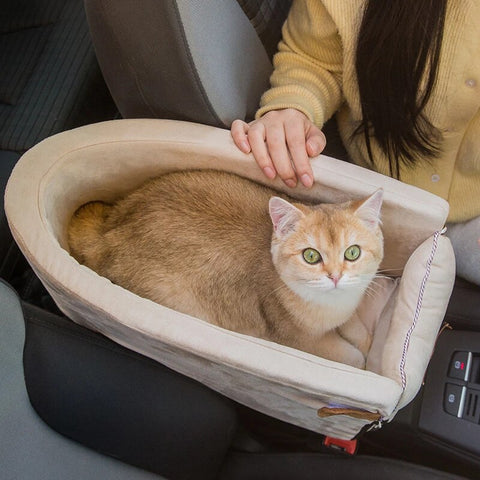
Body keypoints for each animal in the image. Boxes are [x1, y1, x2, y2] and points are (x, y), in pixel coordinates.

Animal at [67, 169, 384, 368]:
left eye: (352, 252)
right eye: (311, 256)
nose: (335, 276)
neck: (331, 306)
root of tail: (108, 232)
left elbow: (356, 326)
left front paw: (366, 339)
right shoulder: (300, 340)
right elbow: (351, 357)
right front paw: (362, 360)